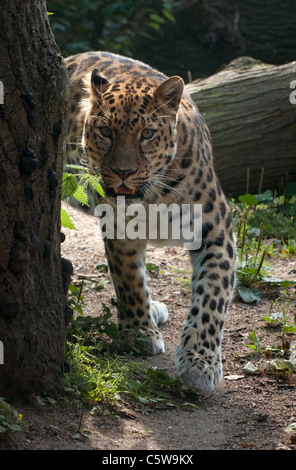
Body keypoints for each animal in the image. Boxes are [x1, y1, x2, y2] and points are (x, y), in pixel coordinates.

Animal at [65, 51, 236, 392]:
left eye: (147, 134)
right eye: (105, 132)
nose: (123, 172)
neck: (154, 197)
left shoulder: (217, 230)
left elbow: (212, 295)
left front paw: (201, 362)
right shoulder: (119, 227)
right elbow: (129, 279)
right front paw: (139, 332)